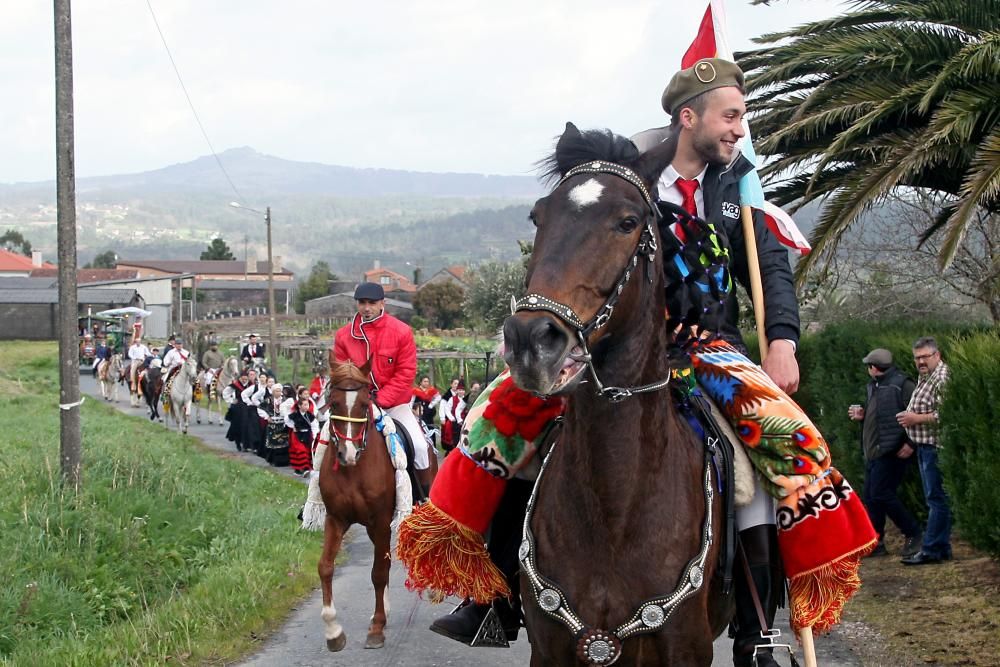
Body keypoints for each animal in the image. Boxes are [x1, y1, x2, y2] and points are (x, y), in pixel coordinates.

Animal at [314, 360, 436, 652]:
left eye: (363, 403)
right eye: (334, 403)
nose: (347, 454)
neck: (354, 470)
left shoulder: (381, 521)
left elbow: (378, 573)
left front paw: (377, 628)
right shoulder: (336, 519)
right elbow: (325, 566)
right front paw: (333, 631)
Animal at [504, 124, 732, 664]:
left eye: (628, 222)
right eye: (538, 216)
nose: (529, 340)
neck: (615, 507)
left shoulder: (687, 650)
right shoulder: (549, 651)